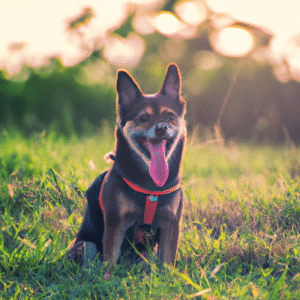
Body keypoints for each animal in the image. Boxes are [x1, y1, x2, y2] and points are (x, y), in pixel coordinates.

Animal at [67, 62, 186, 278]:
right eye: (144, 117)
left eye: (170, 117)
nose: (161, 127)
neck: (150, 187)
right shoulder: (115, 223)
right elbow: (110, 259)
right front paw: (107, 280)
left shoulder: (170, 224)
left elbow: (167, 262)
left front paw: (168, 280)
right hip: (86, 244)